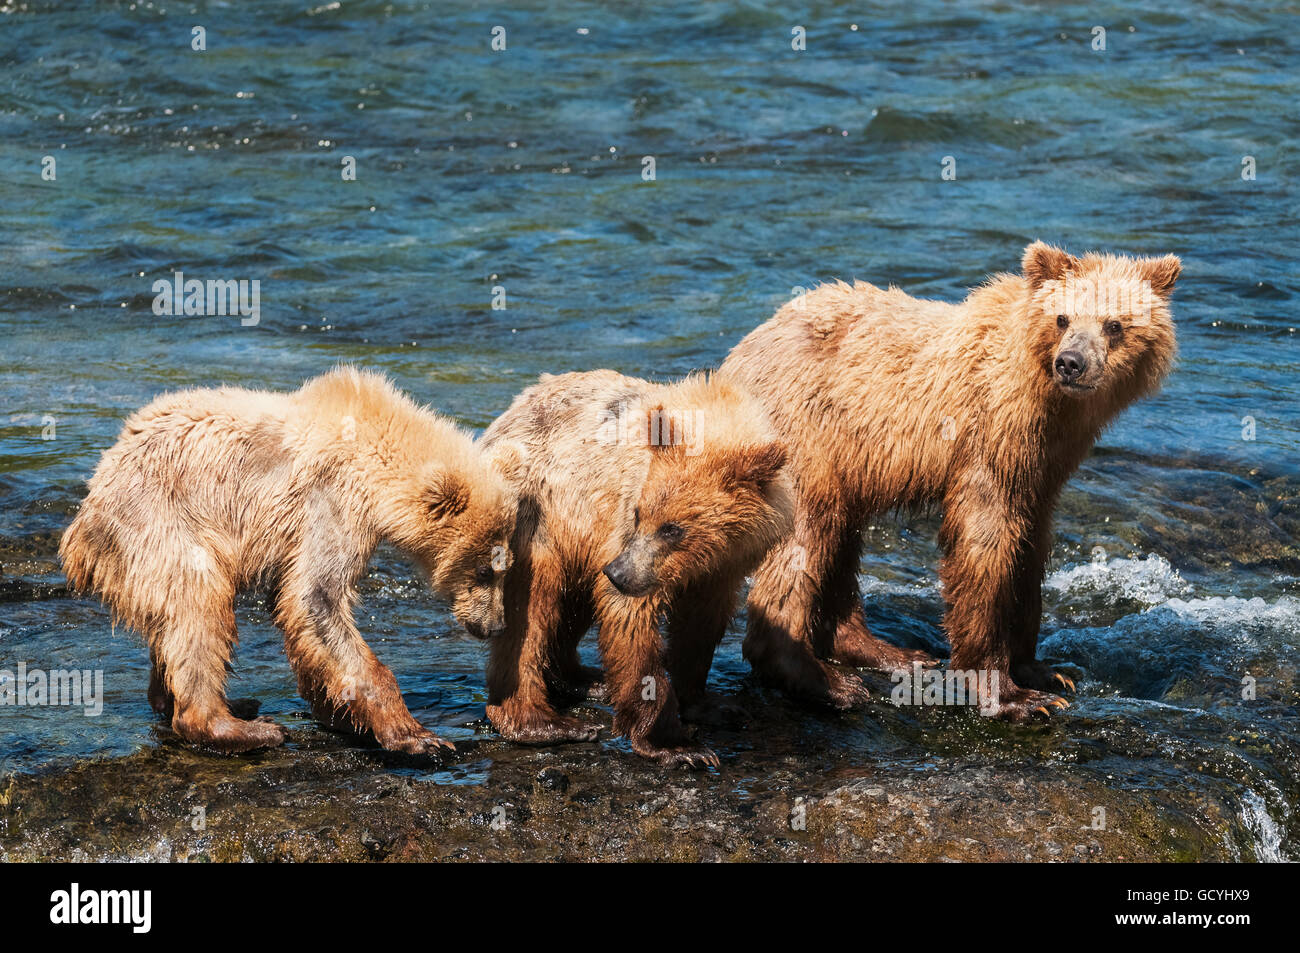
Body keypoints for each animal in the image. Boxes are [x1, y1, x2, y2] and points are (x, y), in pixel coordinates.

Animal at [59, 369, 517, 754]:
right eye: (483, 569)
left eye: (505, 568)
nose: (496, 625)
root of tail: (84, 518)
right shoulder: (332, 502)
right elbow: (318, 596)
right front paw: (418, 737)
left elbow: (297, 608)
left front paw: (338, 713)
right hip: (162, 522)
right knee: (200, 606)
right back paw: (241, 726)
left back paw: (208, 701)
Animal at [483, 369, 795, 769]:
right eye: (639, 513)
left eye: (673, 528)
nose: (618, 573)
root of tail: (510, 411)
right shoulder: (623, 523)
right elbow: (630, 620)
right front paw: (677, 746)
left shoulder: (725, 565)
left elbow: (701, 624)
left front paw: (712, 705)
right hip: (541, 516)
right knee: (532, 612)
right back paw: (543, 722)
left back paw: (586, 678)